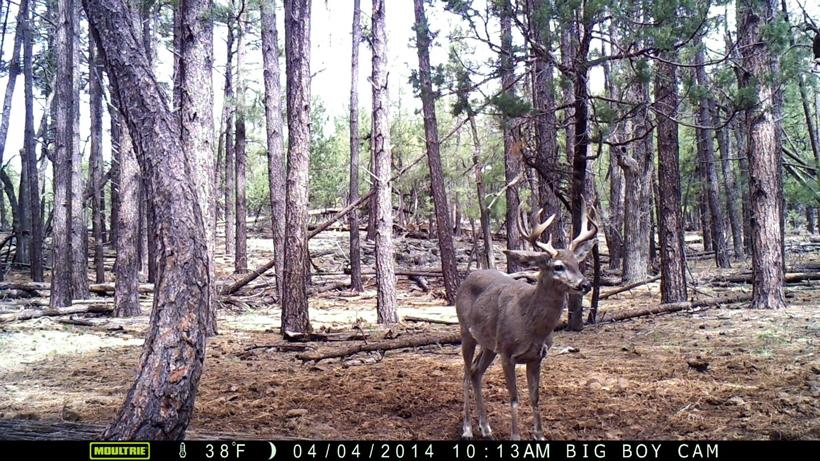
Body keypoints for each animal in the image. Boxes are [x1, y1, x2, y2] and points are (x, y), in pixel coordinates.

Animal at [455, 202, 598, 440]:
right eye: (558, 266)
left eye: (577, 264)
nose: (585, 284)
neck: (530, 324)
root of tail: (468, 278)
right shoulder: (507, 353)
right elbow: (514, 398)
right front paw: (515, 436)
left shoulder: (537, 357)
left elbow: (535, 397)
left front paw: (539, 435)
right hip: (466, 332)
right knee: (466, 373)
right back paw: (467, 429)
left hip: (489, 345)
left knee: (476, 372)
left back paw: (485, 427)